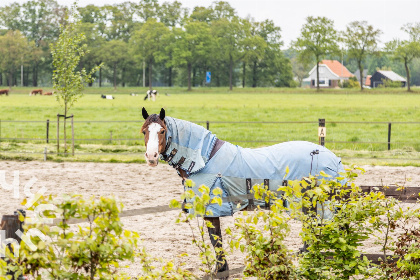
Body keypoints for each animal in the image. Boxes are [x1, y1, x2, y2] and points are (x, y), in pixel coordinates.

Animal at [141, 107, 344, 276]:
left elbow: (216, 240)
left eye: (162, 131)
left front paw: (221, 271)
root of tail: (333, 158)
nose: (151, 157)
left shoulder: (212, 210)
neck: (205, 159)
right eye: (144, 131)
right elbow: (216, 240)